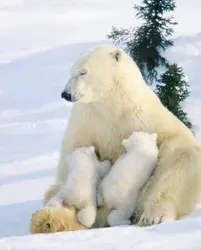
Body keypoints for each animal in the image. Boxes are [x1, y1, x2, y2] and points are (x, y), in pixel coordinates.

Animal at [44, 44, 201, 228]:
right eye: (71, 71)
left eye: (82, 72)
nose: (66, 94)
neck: (112, 103)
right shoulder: (87, 121)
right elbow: (74, 151)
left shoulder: (143, 118)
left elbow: (179, 149)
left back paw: (151, 216)